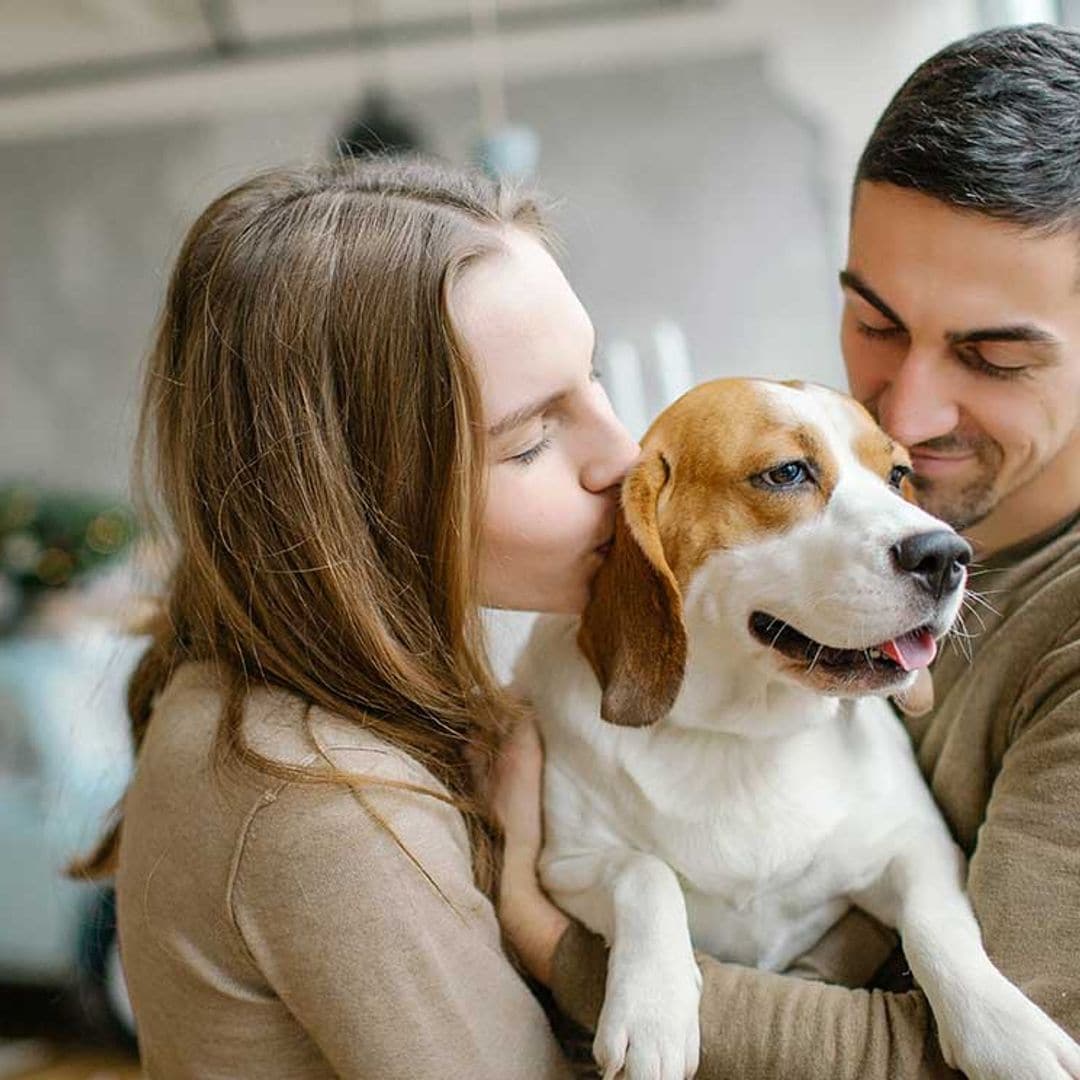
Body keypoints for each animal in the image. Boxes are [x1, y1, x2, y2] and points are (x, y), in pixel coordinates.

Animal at [514, 378, 1080, 1080]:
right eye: (786, 473)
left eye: (898, 475)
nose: (948, 555)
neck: (744, 736)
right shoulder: (566, 865)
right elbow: (644, 875)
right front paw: (653, 1007)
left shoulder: (917, 846)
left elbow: (937, 926)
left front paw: (1007, 1029)